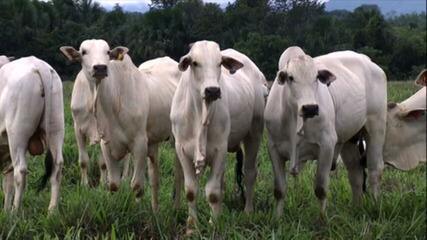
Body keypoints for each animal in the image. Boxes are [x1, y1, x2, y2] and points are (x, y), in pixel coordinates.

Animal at [0, 56, 64, 210]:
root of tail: (38, 65)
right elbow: (7, 185)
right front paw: (5, 210)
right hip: (56, 128)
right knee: (57, 168)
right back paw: (52, 210)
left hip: (17, 137)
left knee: (20, 172)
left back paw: (15, 211)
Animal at [59, 40, 181, 211]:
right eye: (83, 52)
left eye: (107, 52)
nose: (100, 68)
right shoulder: (102, 141)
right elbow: (113, 183)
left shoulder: (139, 143)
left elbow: (137, 185)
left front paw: (137, 209)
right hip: (154, 141)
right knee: (154, 177)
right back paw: (155, 209)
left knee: (178, 174)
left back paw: (176, 206)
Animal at [171, 41, 266, 231]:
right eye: (195, 63)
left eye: (219, 63)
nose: (212, 90)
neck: (200, 113)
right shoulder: (181, 149)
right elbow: (191, 190)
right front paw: (192, 225)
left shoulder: (220, 148)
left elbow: (213, 192)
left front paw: (214, 223)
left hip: (254, 133)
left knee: (249, 173)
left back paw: (248, 210)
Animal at [264, 46, 388, 216]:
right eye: (290, 77)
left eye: (316, 77)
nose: (310, 108)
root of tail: (368, 61)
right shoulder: (273, 148)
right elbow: (279, 190)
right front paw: (277, 218)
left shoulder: (327, 146)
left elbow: (320, 189)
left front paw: (322, 218)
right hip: (348, 140)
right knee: (355, 173)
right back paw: (357, 208)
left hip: (376, 128)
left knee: (375, 170)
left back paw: (375, 207)